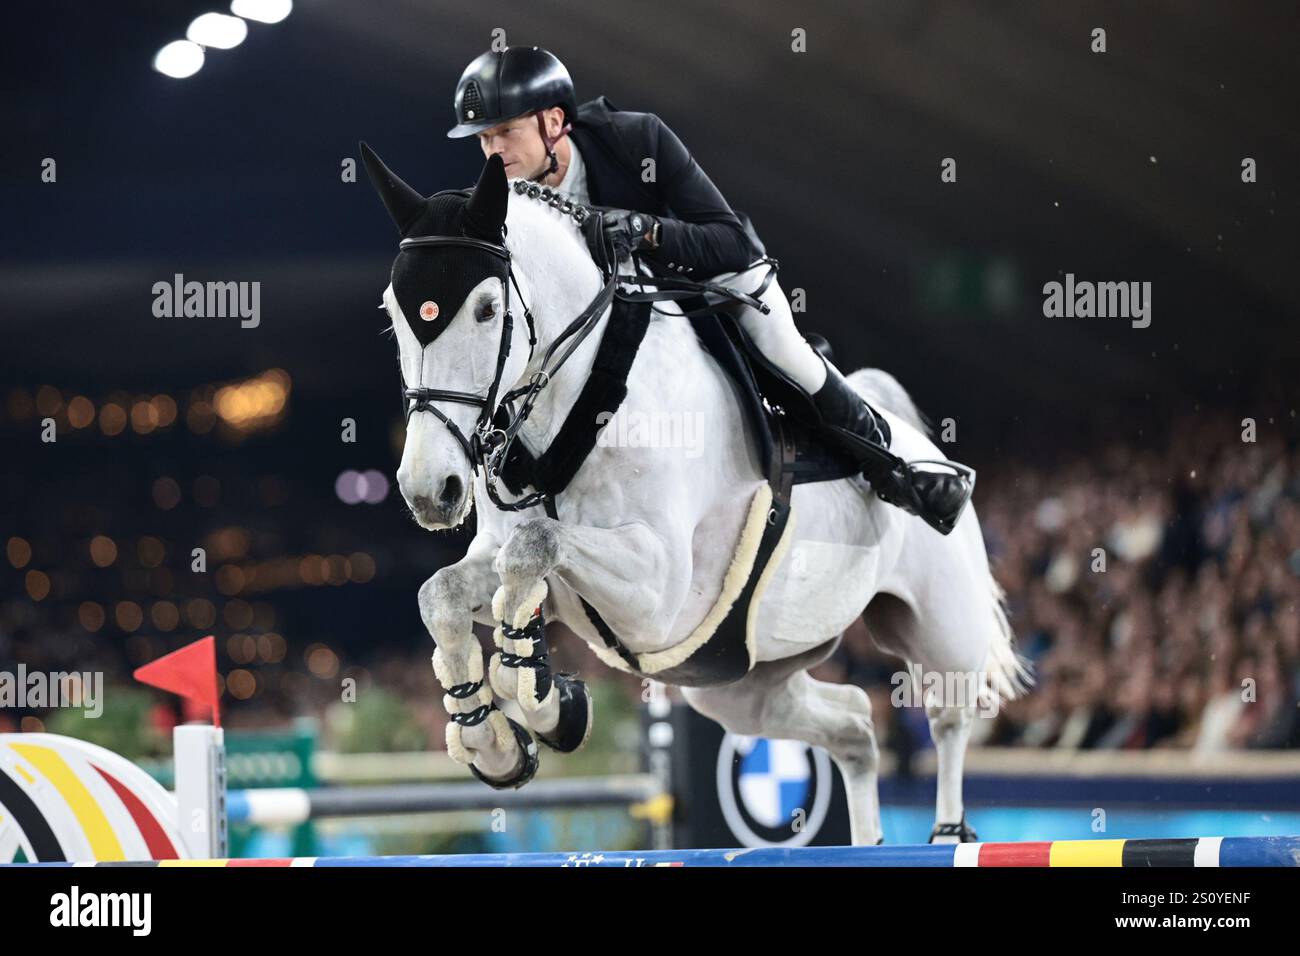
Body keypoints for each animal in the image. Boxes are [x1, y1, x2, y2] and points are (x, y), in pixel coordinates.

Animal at [361, 143, 1029, 842]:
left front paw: (539, 697)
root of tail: (919, 439)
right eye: (393, 314)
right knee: (850, 723)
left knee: (949, 719)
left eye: (487, 309)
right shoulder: (527, 568)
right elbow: (445, 592)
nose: (430, 490)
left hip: (940, 625)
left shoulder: (658, 592)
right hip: (737, 680)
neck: (580, 399)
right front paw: (496, 738)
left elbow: (536, 544)